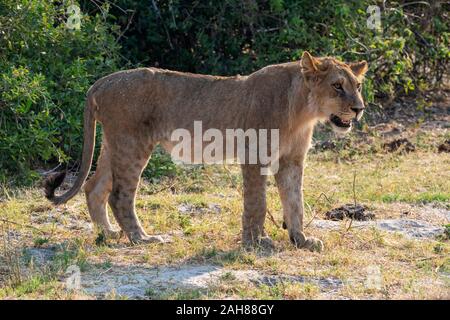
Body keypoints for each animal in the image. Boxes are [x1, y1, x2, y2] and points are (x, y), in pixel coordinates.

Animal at [45, 52, 368, 252]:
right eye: (337, 86)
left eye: (358, 85)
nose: (359, 108)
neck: (302, 111)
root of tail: (101, 82)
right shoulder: (254, 154)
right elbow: (257, 203)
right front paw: (256, 243)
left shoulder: (292, 160)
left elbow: (295, 201)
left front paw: (301, 240)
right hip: (133, 143)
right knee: (118, 194)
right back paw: (142, 238)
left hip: (114, 144)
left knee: (94, 187)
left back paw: (109, 234)